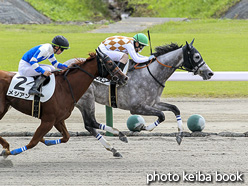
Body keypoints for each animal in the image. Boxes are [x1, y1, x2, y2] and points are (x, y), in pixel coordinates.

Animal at [0, 48, 128, 158]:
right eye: (110, 63)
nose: (125, 78)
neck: (65, 87)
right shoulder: (48, 120)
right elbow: (33, 142)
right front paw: (10, 152)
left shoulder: (58, 119)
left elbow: (66, 137)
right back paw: (6, 146)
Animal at [65, 39, 214, 157]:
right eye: (196, 56)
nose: (210, 73)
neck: (152, 74)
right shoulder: (137, 108)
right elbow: (162, 115)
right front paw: (142, 127)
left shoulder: (153, 103)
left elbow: (174, 109)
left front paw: (179, 136)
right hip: (87, 100)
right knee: (91, 122)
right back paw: (120, 137)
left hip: (81, 102)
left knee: (89, 125)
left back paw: (113, 149)